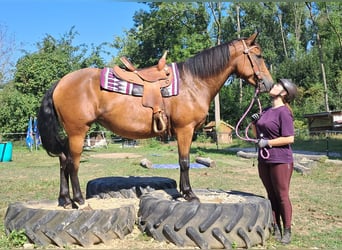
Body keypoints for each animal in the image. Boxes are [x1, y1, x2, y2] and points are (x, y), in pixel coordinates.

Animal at [38, 32, 272, 208]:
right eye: (259, 55)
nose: (269, 84)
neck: (193, 82)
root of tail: (60, 82)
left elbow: (182, 161)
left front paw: (182, 192)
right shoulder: (185, 130)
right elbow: (184, 162)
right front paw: (189, 194)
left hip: (70, 133)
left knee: (63, 159)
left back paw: (64, 200)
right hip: (78, 132)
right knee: (73, 163)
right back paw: (78, 200)